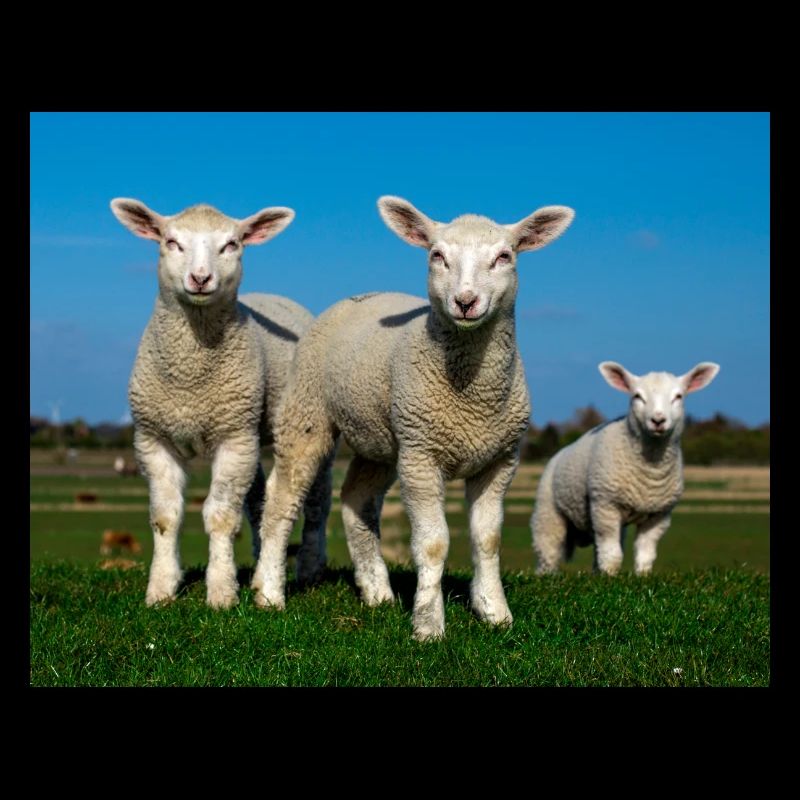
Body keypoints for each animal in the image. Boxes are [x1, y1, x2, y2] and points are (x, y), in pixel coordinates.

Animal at [110, 198, 332, 609]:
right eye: (171, 242)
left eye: (232, 244)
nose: (200, 278)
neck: (190, 378)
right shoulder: (153, 438)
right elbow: (165, 516)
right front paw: (161, 589)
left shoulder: (233, 438)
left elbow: (221, 516)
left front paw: (222, 593)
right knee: (258, 500)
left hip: (301, 423)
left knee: (317, 503)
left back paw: (309, 566)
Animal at [252, 195, 575, 640]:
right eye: (437, 256)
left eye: (504, 257)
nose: (466, 302)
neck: (471, 395)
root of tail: (362, 295)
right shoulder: (421, 456)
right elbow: (433, 543)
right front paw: (428, 625)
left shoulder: (500, 459)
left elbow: (488, 539)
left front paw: (495, 612)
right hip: (307, 411)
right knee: (282, 498)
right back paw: (268, 593)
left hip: (381, 439)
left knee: (356, 499)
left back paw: (376, 591)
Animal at [531, 360, 720, 576]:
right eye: (637, 396)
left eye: (678, 396)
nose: (658, 420)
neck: (651, 469)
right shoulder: (606, 506)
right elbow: (612, 554)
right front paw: (610, 577)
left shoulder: (658, 515)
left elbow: (645, 553)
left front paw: (642, 576)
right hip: (548, 513)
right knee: (548, 552)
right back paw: (547, 576)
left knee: (597, 549)